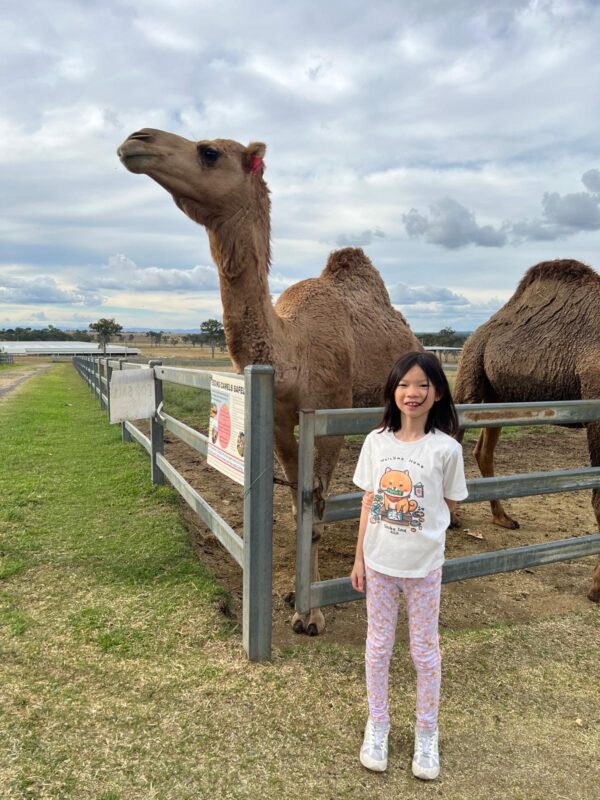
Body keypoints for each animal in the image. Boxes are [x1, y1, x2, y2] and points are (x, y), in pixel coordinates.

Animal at [117, 129, 423, 634]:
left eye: (209, 151)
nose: (135, 140)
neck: (293, 351)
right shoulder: (280, 421)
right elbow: (297, 505)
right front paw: (294, 596)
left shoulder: (327, 415)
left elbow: (315, 506)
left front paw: (312, 614)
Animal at [453, 259, 600, 601]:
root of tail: (482, 329)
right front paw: (597, 587)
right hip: (471, 370)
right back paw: (452, 519)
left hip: (499, 397)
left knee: (483, 451)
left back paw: (503, 518)